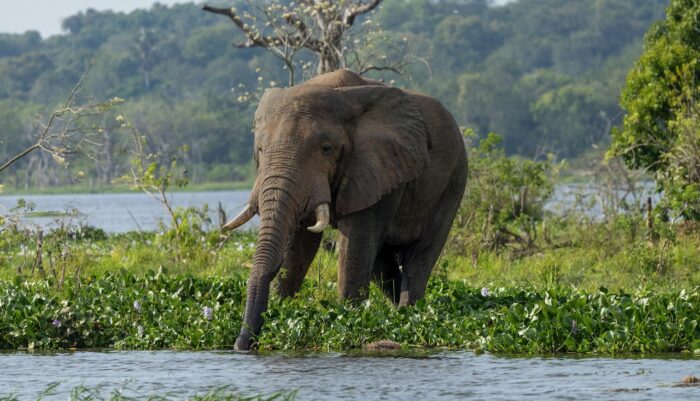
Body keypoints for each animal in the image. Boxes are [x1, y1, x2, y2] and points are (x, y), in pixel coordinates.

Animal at [224, 69, 467, 350]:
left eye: (326, 149)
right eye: (261, 150)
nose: (242, 344)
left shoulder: (378, 166)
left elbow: (354, 245)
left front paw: (346, 321)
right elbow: (300, 244)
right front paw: (281, 315)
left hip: (453, 182)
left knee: (419, 256)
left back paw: (409, 316)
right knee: (381, 264)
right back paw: (398, 317)